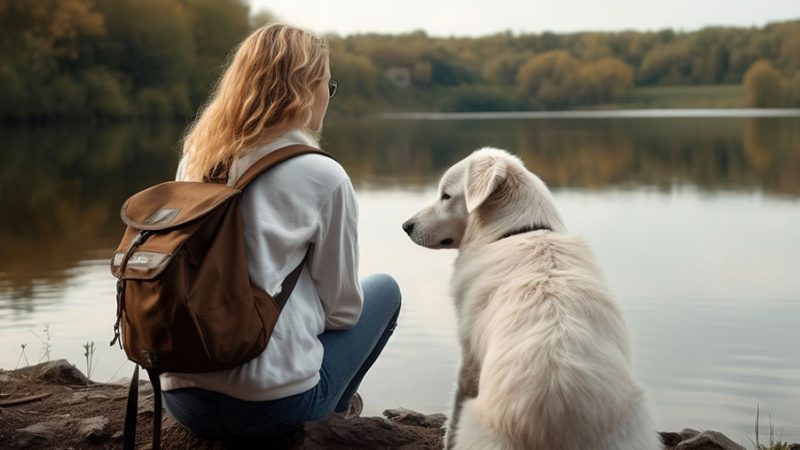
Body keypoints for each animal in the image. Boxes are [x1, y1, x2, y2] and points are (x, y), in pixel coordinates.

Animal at [404, 149, 660, 450]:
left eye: (445, 196)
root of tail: (558, 422)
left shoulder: (469, 357)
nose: (406, 226)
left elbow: (453, 416)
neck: (516, 231)